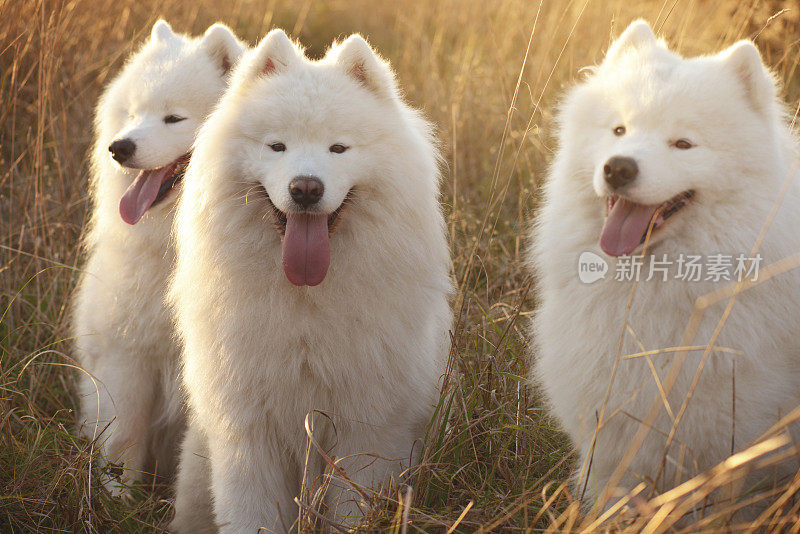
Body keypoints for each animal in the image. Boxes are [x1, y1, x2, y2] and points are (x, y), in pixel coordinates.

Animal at [74, 21, 244, 498]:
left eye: (173, 118)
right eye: (133, 114)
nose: (120, 147)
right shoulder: (129, 355)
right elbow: (123, 438)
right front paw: (117, 498)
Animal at [170, 30, 454, 534]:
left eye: (338, 149)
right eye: (277, 147)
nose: (305, 188)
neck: (305, 301)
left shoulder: (367, 429)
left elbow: (349, 510)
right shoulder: (249, 430)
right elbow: (254, 514)